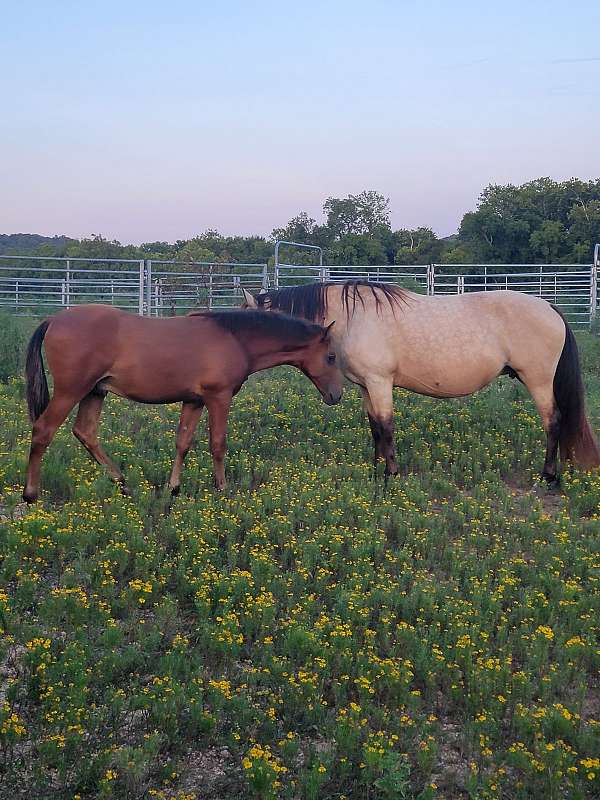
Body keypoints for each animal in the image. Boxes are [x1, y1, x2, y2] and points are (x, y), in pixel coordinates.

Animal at [22, 304, 342, 504]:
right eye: (331, 357)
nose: (336, 396)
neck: (235, 338)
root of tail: (54, 320)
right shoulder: (218, 398)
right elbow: (218, 444)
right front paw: (222, 488)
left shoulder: (193, 400)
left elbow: (183, 442)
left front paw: (173, 488)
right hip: (71, 391)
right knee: (43, 431)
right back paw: (30, 494)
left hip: (95, 392)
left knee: (85, 432)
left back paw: (122, 482)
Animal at [243, 282, 600, 482]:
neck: (351, 318)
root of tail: (549, 306)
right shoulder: (366, 386)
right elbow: (375, 427)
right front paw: (376, 469)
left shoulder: (380, 382)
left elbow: (386, 427)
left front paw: (391, 475)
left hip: (538, 381)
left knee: (553, 422)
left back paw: (548, 476)